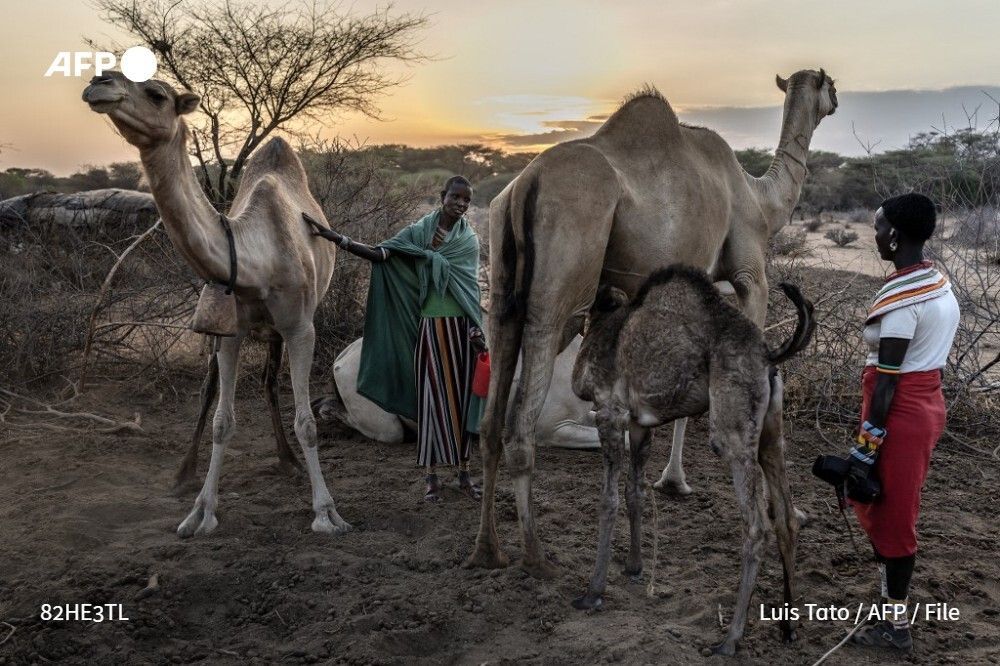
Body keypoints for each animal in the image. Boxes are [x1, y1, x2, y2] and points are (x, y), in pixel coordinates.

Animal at [82, 71, 351, 536]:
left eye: (157, 94)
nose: (100, 82)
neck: (256, 257)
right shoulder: (231, 331)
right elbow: (222, 421)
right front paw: (200, 512)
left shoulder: (302, 328)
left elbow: (308, 422)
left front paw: (326, 512)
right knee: (239, 385)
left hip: (285, 327)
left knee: (269, 382)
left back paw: (289, 462)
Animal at [467, 69, 837, 577]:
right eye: (830, 86)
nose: (835, 101)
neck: (760, 201)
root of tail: (526, 184)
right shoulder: (750, 274)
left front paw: (670, 478)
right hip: (563, 282)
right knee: (521, 421)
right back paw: (537, 558)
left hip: (503, 279)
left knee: (491, 417)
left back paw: (488, 549)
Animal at [571, 266, 814, 656]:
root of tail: (768, 357)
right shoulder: (639, 424)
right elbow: (635, 493)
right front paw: (634, 567)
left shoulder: (609, 413)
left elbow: (608, 500)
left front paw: (593, 592)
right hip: (771, 434)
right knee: (786, 518)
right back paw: (789, 627)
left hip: (731, 432)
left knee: (757, 526)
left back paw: (730, 639)